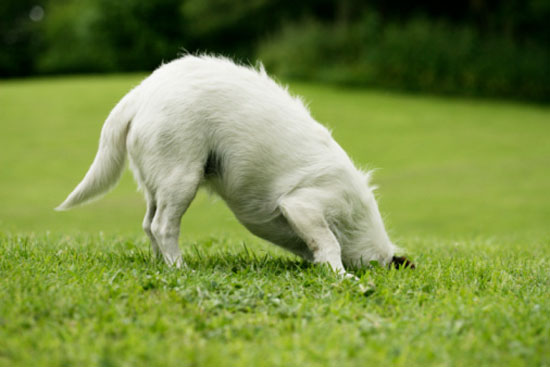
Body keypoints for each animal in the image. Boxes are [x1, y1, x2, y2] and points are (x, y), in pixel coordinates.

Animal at [59, 56, 414, 278]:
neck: (359, 226)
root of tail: (139, 93)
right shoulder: (303, 205)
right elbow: (328, 243)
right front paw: (340, 275)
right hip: (182, 178)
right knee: (163, 226)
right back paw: (178, 268)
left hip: (157, 183)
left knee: (149, 225)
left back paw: (161, 262)